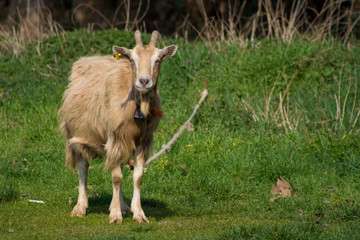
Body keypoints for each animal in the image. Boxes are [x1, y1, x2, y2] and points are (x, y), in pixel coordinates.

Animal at [59, 30, 179, 223]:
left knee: (120, 163)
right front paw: (115, 216)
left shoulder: (142, 140)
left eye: (158, 59)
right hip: (74, 134)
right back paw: (80, 207)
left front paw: (138, 213)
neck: (137, 106)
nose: (143, 82)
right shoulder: (114, 136)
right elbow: (116, 177)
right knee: (83, 167)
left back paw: (122, 206)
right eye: (132, 60)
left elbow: (138, 176)